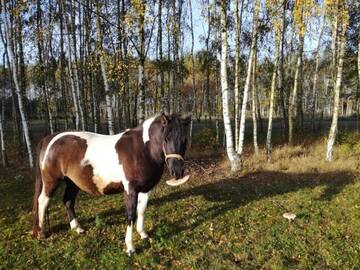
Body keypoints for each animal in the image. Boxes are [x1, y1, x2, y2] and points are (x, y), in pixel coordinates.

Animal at [31, 113, 191, 254]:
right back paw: (42, 233)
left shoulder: (146, 189)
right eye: (166, 139)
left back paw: (77, 228)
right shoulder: (130, 190)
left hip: (72, 183)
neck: (143, 150)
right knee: (43, 201)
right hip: (51, 181)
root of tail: (50, 139)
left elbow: (141, 210)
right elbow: (131, 215)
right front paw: (130, 247)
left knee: (68, 201)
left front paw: (143, 234)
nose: (177, 172)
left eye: (185, 139)